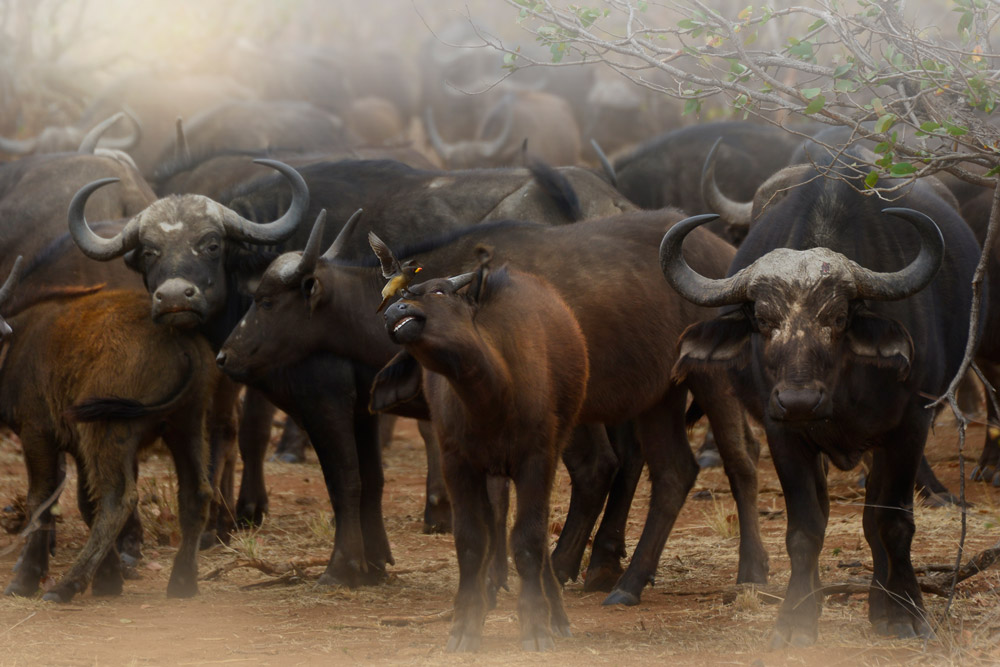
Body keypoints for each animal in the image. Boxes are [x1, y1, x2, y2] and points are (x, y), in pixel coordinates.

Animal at [2, 288, 215, 604]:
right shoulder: (78, 449)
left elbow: (41, 501)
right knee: (196, 493)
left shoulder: (36, 434)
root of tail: (178, 336)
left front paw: (25, 580)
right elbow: (87, 504)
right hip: (188, 425)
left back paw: (66, 585)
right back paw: (183, 581)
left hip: (107, 431)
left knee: (120, 498)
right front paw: (109, 578)